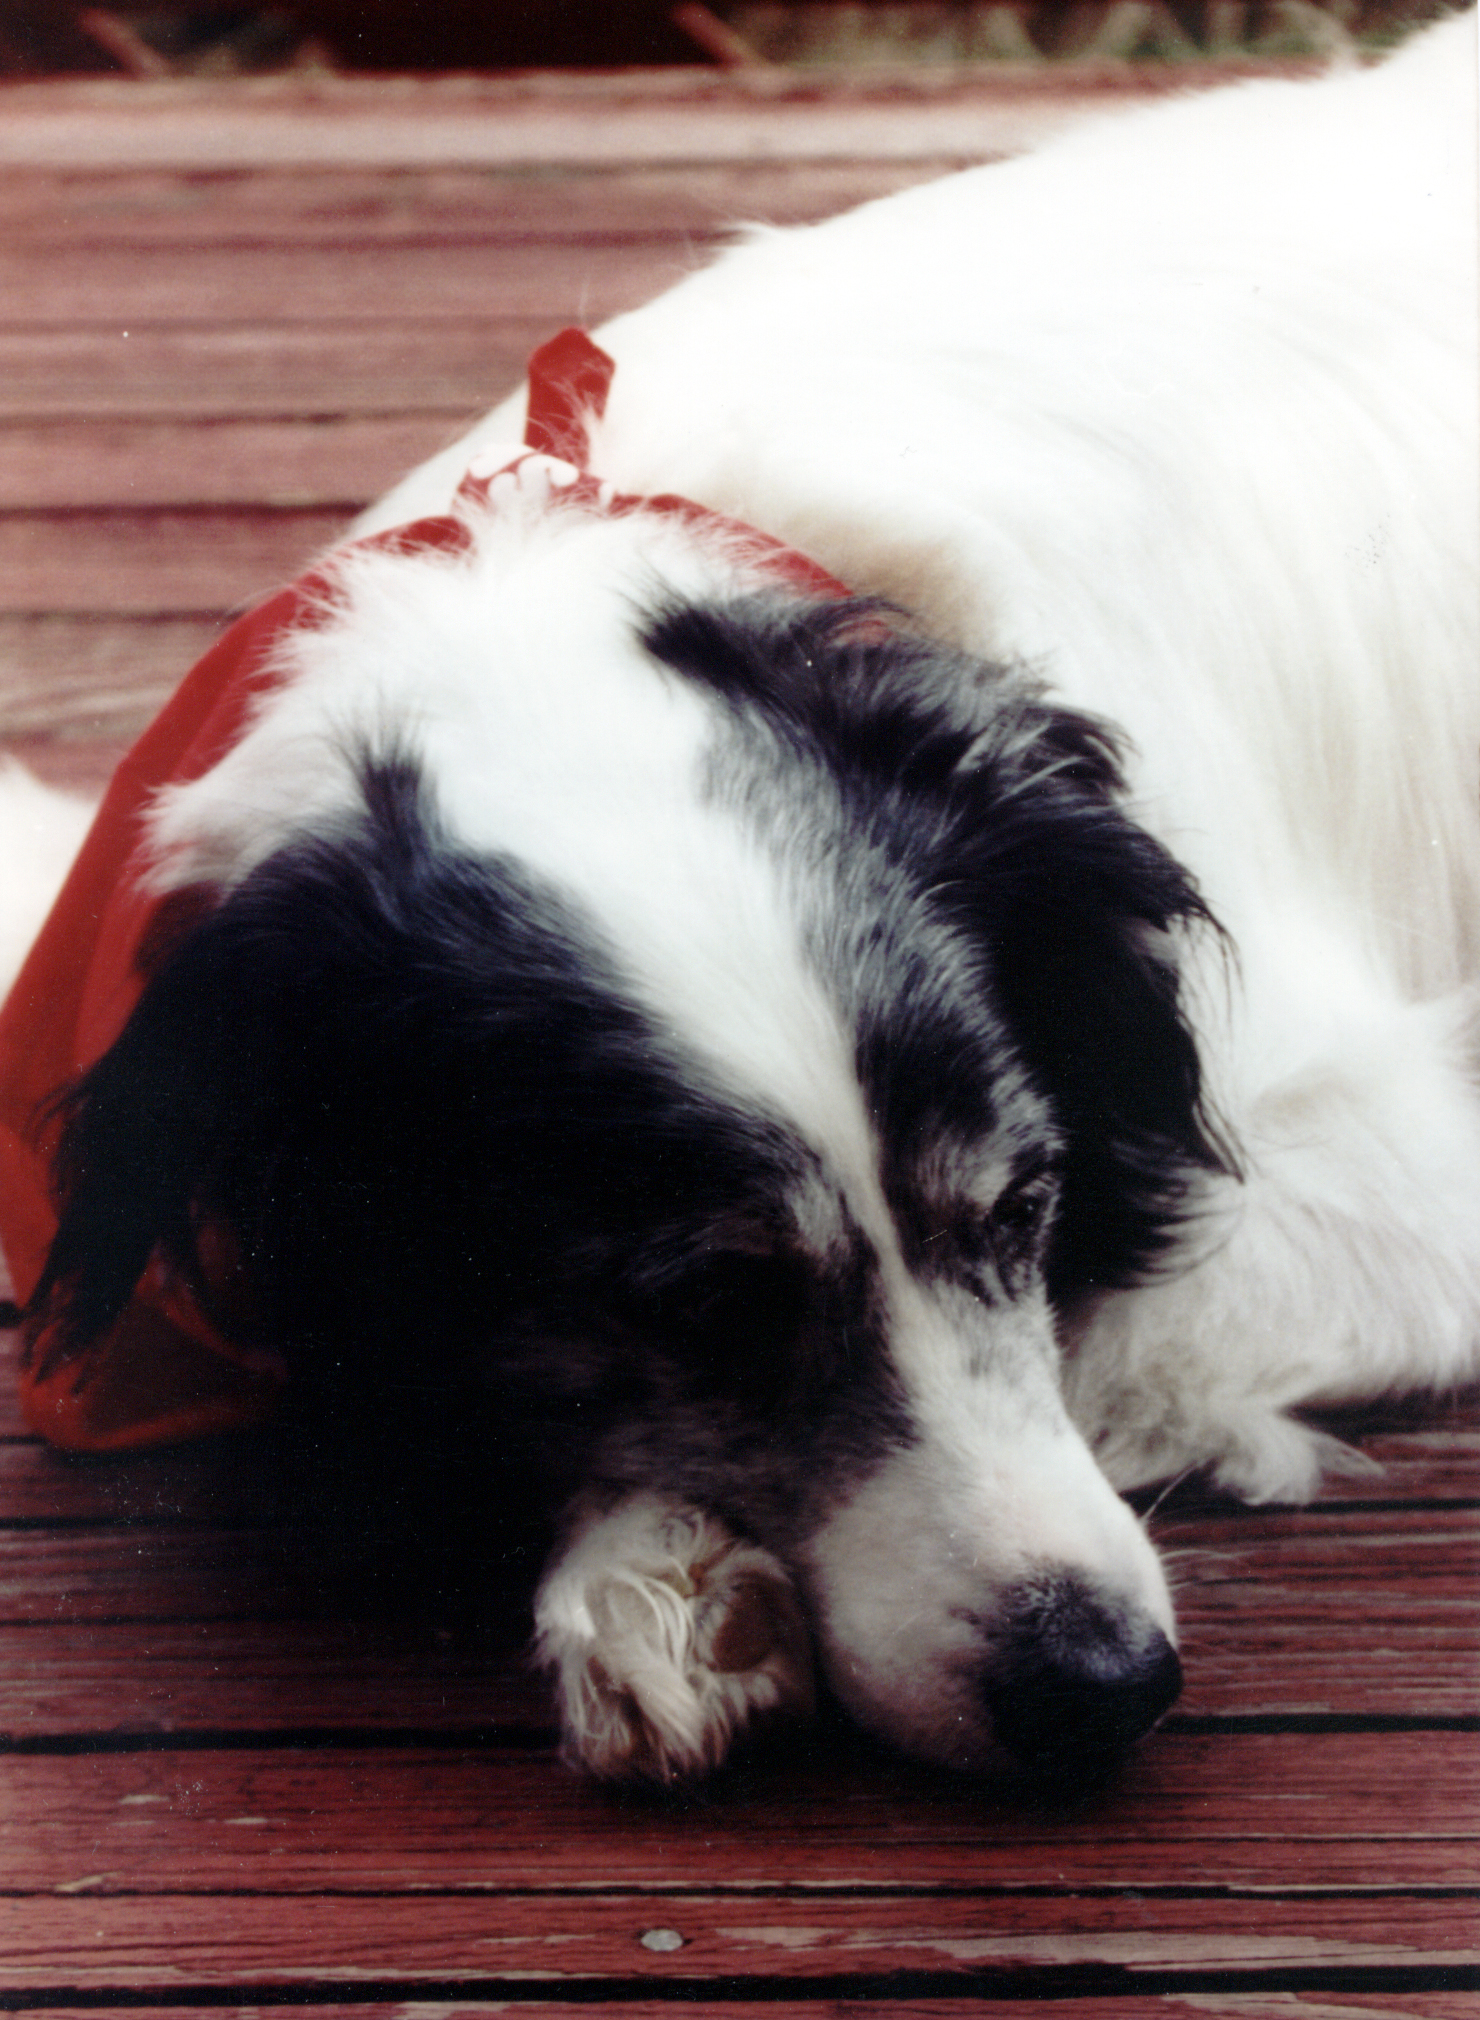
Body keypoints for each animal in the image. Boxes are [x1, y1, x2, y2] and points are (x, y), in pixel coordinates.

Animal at [0, 12, 1475, 1787]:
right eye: (710, 1301)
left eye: (1027, 1211)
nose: (1103, 1687)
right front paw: (662, 1564)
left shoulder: (1402, 1174)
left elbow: (1118, 1325)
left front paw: (653, 1564)